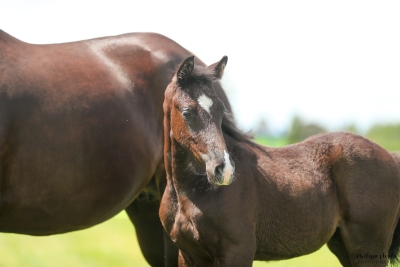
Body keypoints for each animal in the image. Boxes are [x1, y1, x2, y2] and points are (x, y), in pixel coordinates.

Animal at [159, 55, 400, 266]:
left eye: (220, 110)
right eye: (187, 112)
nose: (223, 170)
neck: (190, 194)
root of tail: (391, 155)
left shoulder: (237, 251)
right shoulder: (189, 255)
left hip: (368, 247)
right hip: (343, 245)